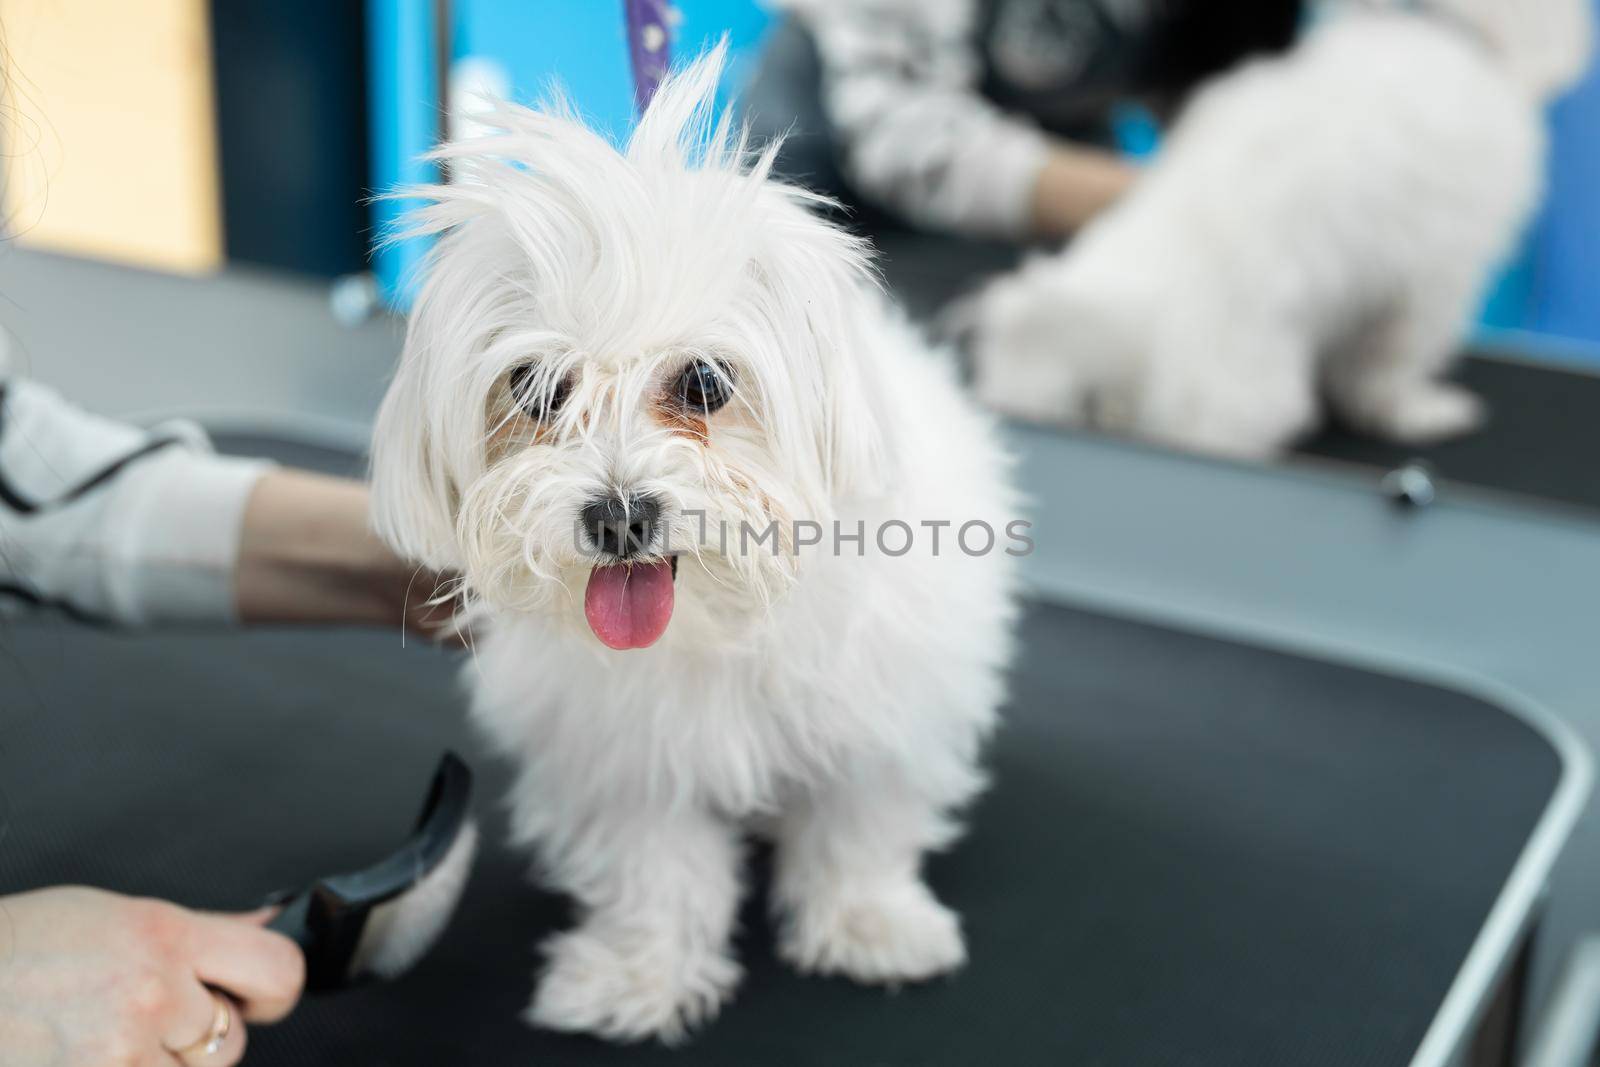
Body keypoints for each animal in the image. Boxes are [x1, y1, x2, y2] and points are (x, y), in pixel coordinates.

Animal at [368, 49, 1017, 1043]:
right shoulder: (625, 755)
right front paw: (640, 973)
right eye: (535, 388)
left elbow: (860, 821)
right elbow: (656, 867)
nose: (618, 514)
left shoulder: (886, 708)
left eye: (705, 382)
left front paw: (869, 923)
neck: (714, 625)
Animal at [966, 0, 1593, 460]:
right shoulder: (1430, 280)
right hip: (1241, 398)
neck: (1447, 31)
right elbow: (1392, 368)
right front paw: (1418, 413)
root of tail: (1128, 317)